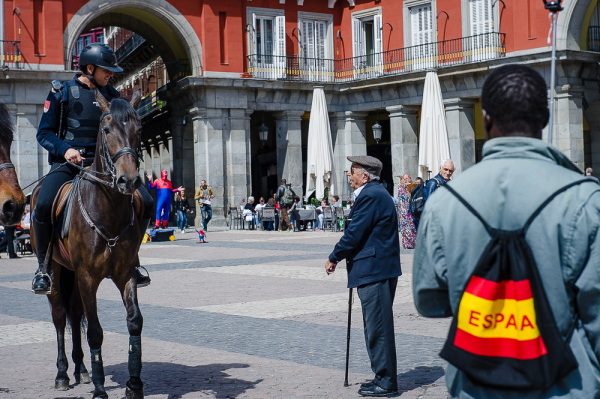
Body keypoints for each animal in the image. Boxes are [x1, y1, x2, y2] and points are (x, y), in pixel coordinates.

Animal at [31, 90, 145, 399]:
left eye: (138, 129)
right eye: (106, 130)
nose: (128, 180)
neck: (108, 211)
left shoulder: (124, 273)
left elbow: (134, 321)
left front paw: (134, 385)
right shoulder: (87, 276)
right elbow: (94, 330)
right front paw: (100, 389)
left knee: (73, 313)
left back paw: (81, 369)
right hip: (58, 271)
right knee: (60, 317)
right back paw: (63, 373)